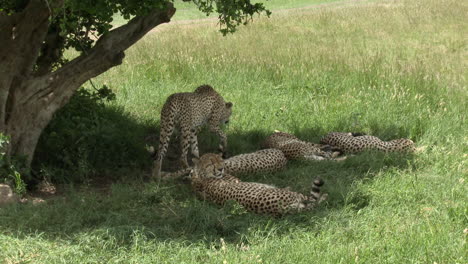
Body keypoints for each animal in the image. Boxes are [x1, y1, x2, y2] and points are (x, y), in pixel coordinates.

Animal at [188, 153, 328, 217]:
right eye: (211, 163)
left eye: (220, 160)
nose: (221, 169)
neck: (200, 176)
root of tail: (279, 209)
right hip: (296, 196)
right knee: (312, 201)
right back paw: (324, 197)